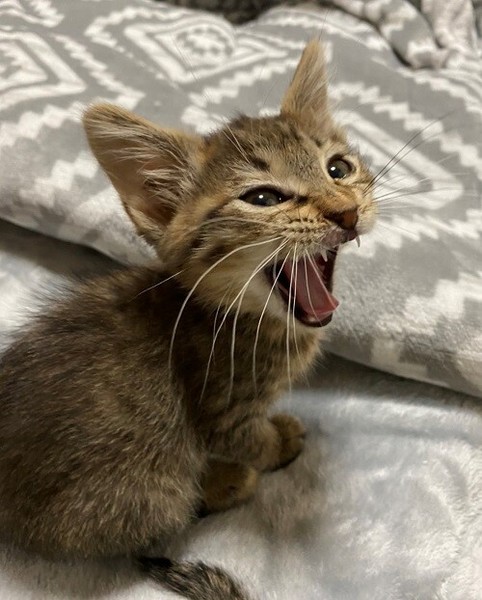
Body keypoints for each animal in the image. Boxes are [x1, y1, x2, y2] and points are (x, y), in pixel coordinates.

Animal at [0, 40, 376, 599]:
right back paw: (223, 484)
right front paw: (276, 443)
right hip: (151, 490)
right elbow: (251, 440)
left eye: (337, 168)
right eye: (263, 198)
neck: (237, 316)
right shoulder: (223, 410)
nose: (346, 212)